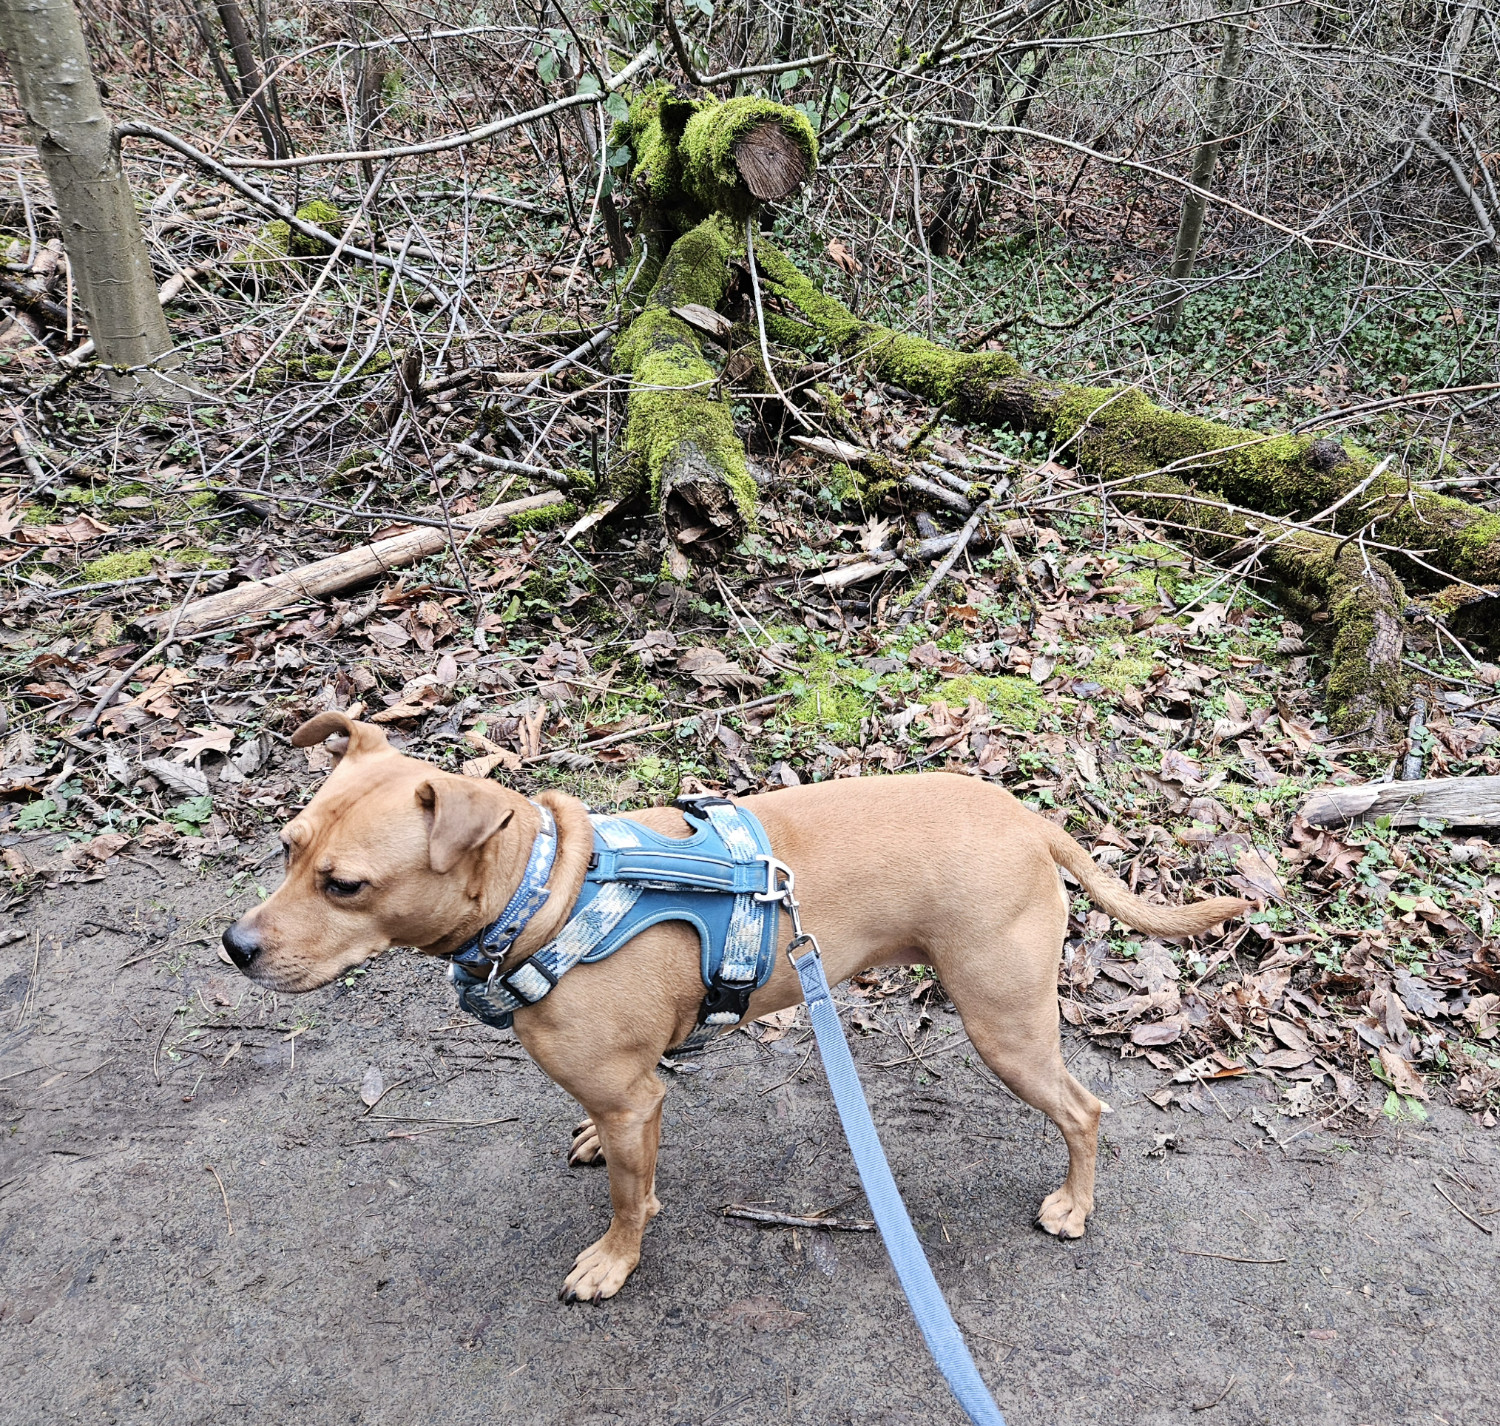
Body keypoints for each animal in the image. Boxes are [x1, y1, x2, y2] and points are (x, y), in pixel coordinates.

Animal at [222, 713, 1248, 1307]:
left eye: (346, 885)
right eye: (287, 847)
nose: (235, 946)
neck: (542, 894)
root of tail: (1030, 820)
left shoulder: (634, 1099)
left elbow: (628, 1199)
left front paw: (614, 1260)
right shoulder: (632, 1094)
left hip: (1005, 1025)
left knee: (1085, 1110)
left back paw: (1074, 1205)